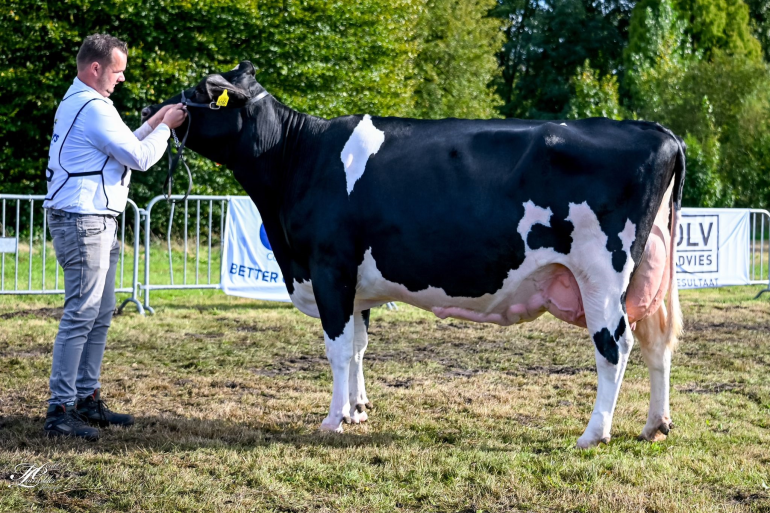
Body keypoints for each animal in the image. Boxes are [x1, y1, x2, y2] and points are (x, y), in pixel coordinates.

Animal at [144, 61, 684, 448]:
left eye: (200, 91)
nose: (156, 106)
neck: (298, 156)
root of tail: (658, 132)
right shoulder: (354, 282)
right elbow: (359, 347)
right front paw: (358, 410)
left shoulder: (328, 266)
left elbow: (337, 348)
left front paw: (332, 419)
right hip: (649, 273)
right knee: (657, 342)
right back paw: (654, 425)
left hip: (601, 273)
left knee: (614, 346)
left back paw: (593, 434)